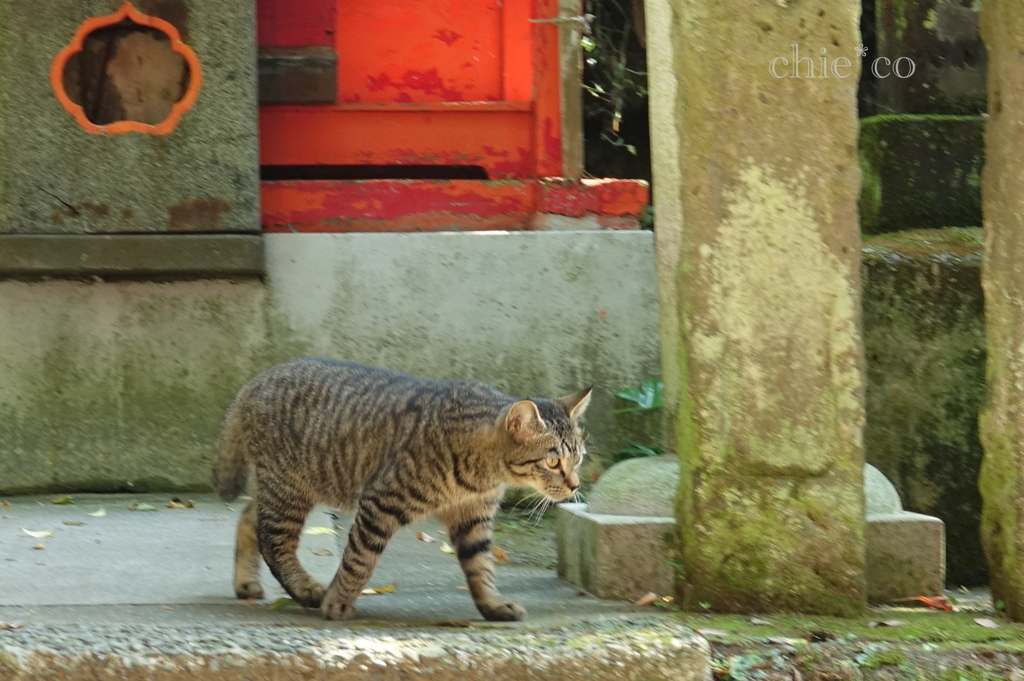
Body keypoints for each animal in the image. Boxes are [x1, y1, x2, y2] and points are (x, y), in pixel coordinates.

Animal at [211, 358, 593, 618]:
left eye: (578, 459)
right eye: (553, 463)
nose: (575, 485)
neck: (481, 473)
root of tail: (256, 380)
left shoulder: (473, 518)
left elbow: (481, 566)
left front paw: (492, 605)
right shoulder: (380, 503)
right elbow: (359, 560)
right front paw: (338, 601)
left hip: (282, 487)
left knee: (249, 519)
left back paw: (246, 583)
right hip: (289, 489)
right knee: (273, 542)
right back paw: (307, 589)